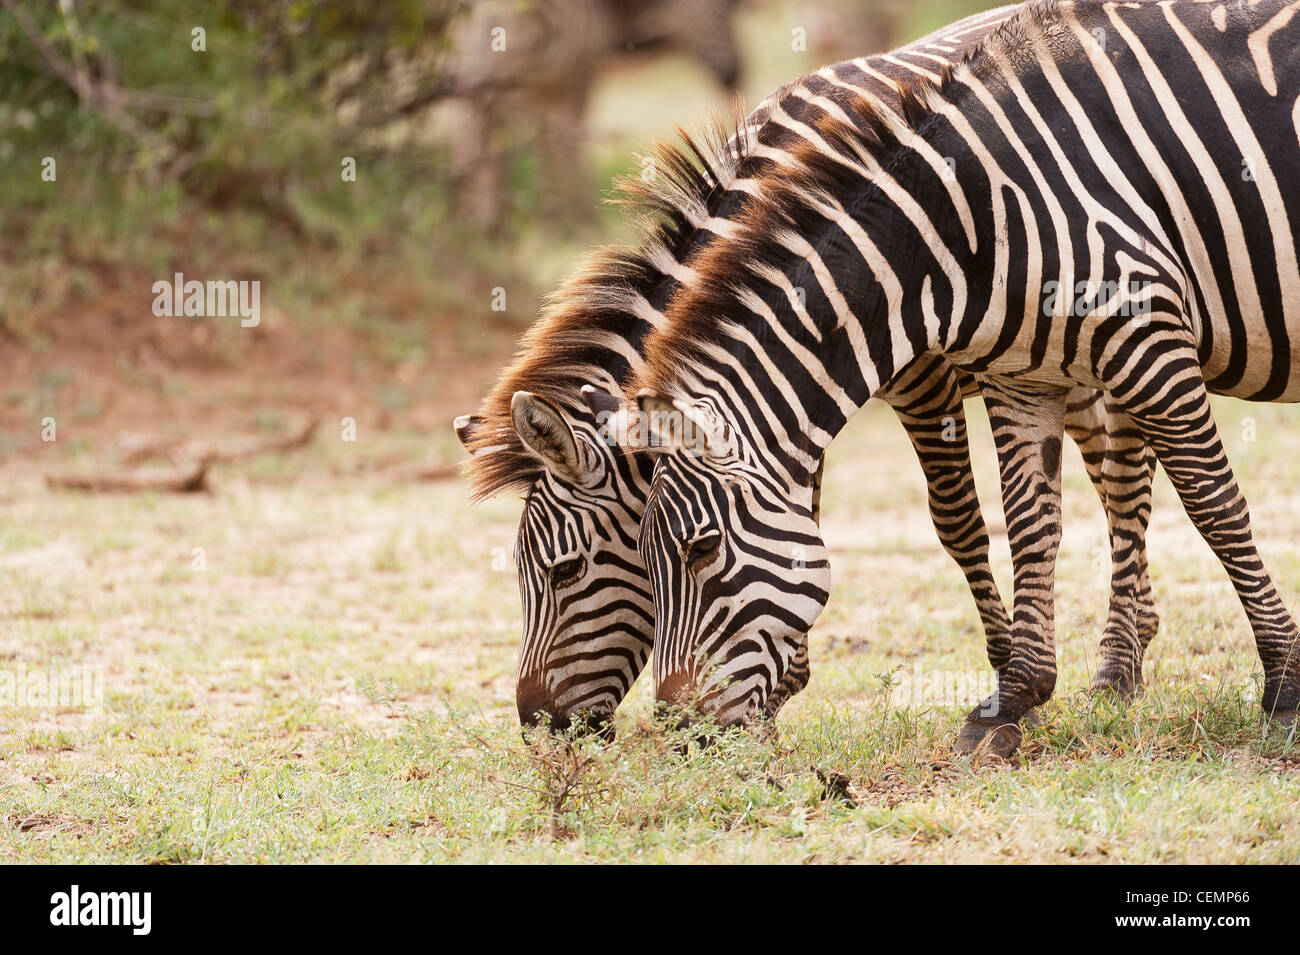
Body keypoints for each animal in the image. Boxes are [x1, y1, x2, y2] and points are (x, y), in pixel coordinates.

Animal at [454, 1, 1159, 738]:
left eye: (563, 571)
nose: (538, 723)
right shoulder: (786, 387)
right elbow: (789, 506)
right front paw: (778, 687)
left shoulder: (915, 377)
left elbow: (957, 519)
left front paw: (1001, 669)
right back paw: (1137, 638)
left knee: (1123, 474)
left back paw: (1118, 667)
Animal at [634, 0, 1300, 748]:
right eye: (640, 568)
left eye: (701, 550)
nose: (678, 732)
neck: (971, 221)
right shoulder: (1023, 374)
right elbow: (1031, 519)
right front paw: (1014, 696)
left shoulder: (1142, 334)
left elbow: (1215, 504)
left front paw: (1284, 682)